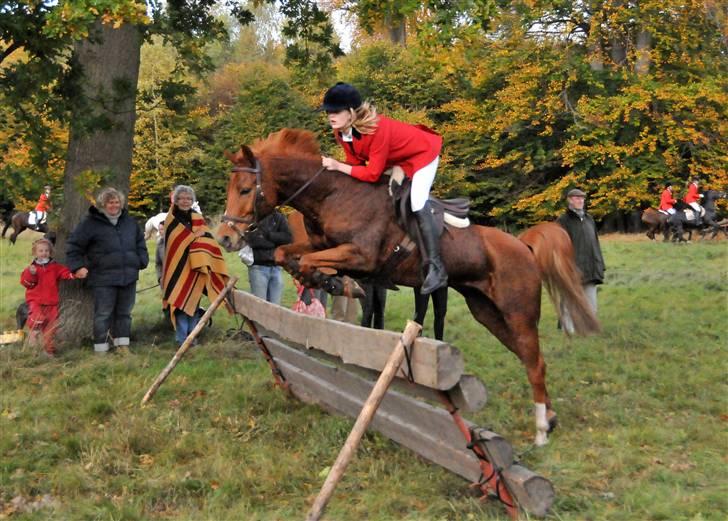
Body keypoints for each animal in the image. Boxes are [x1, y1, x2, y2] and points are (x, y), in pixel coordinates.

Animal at [213, 128, 600, 444]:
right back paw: (549, 418)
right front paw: (323, 281)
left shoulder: (362, 257)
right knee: (531, 358)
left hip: (517, 311)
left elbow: (310, 263)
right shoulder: (319, 246)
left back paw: (541, 431)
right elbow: (285, 254)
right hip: (487, 311)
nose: (226, 237)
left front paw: (333, 283)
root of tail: (524, 246)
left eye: (245, 190)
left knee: (534, 362)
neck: (331, 195)